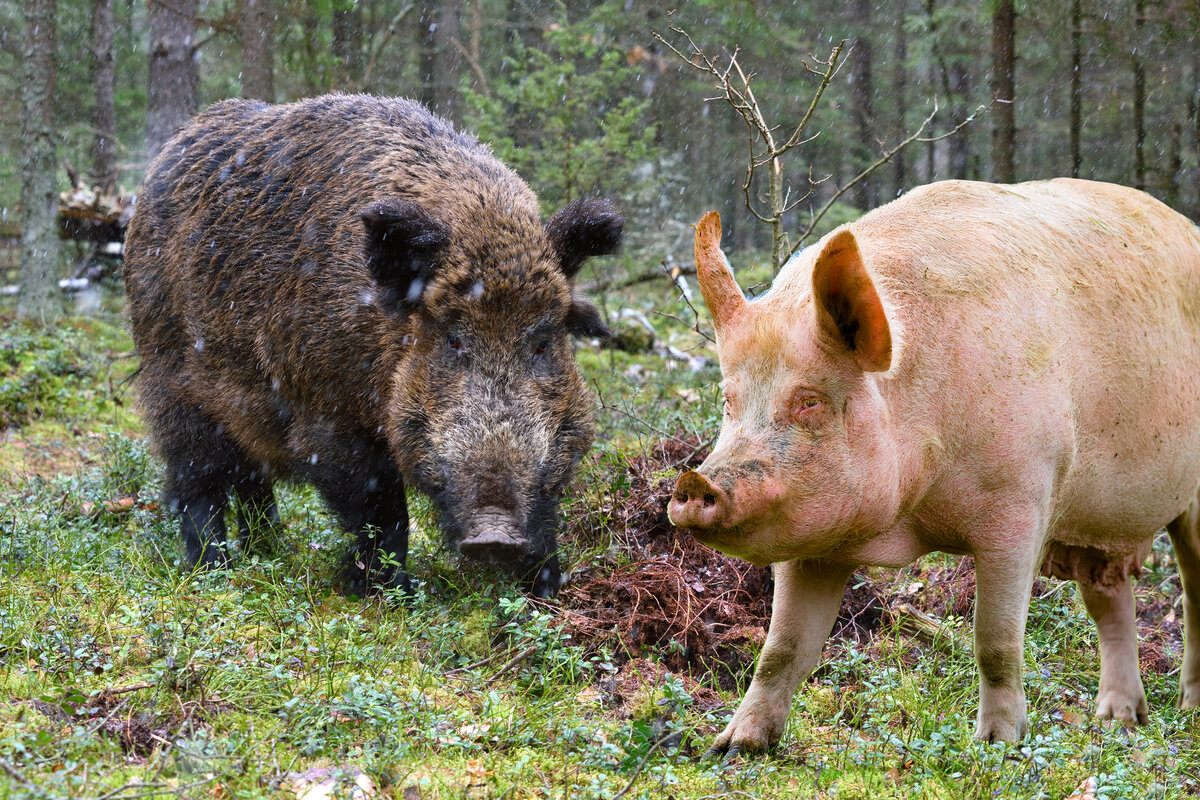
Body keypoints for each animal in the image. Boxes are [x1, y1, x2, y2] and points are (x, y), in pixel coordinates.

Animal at [672, 179, 1200, 753]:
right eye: (728, 400)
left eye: (808, 400)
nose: (693, 484)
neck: (913, 519)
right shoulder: (812, 538)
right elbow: (782, 649)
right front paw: (732, 748)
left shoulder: (1022, 502)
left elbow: (995, 640)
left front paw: (997, 746)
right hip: (1098, 525)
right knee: (1111, 599)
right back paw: (1117, 721)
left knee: (1192, 588)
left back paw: (1187, 710)